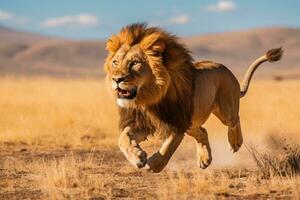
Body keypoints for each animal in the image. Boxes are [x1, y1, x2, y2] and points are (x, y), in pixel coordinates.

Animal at [103, 23, 282, 173]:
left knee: (234, 119)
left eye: (134, 63)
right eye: (115, 62)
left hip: (224, 110)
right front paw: (137, 156)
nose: (116, 79)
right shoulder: (143, 121)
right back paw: (205, 159)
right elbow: (123, 138)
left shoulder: (177, 122)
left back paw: (235, 142)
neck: (149, 99)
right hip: (192, 123)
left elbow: (168, 148)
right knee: (203, 132)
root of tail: (228, 70)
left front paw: (154, 164)